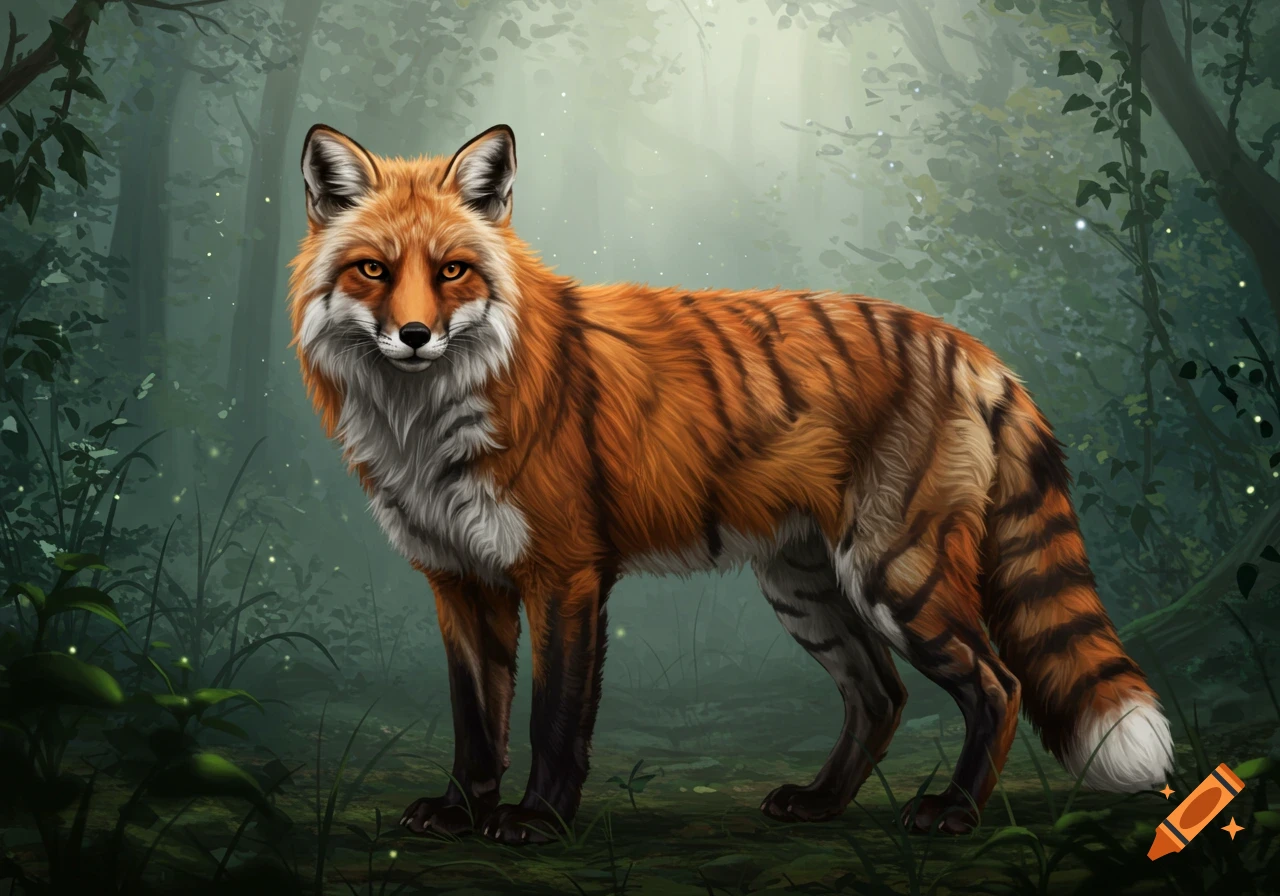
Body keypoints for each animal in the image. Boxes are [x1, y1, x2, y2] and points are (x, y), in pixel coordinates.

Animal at [287, 122, 1174, 844]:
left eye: (453, 271)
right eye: (373, 269)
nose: (413, 335)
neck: (427, 425)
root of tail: (968, 345)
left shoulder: (566, 573)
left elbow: (553, 722)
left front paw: (538, 820)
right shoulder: (459, 580)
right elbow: (477, 724)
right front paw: (461, 812)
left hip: (898, 577)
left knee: (998, 683)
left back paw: (955, 811)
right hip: (805, 588)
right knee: (882, 695)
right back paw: (821, 804)